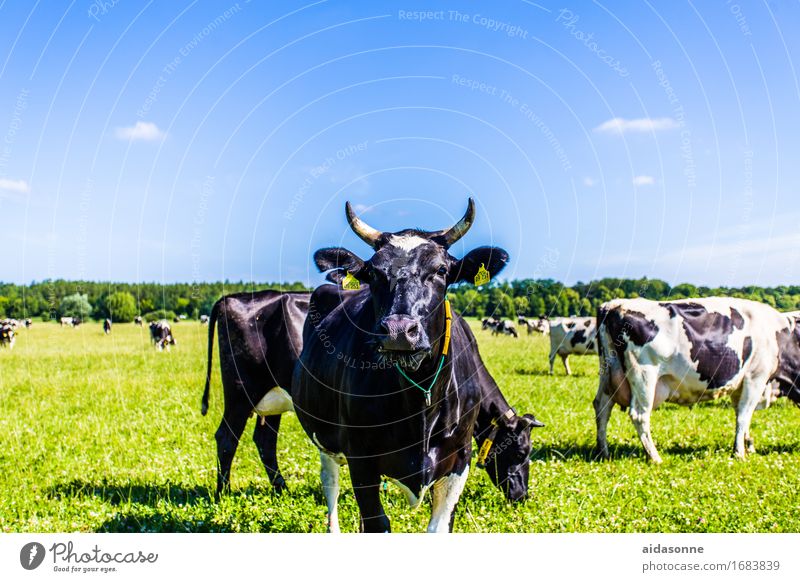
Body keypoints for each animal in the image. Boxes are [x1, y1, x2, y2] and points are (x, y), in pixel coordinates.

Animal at [292, 200, 512, 532]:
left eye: (441, 269)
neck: (419, 403)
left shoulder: (459, 459)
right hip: (325, 440)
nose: (398, 330)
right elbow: (377, 521)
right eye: (373, 273)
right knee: (330, 485)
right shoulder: (361, 458)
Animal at [592, 302, 800, 466]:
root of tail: (613, 306)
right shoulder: (755, 377)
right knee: (639, 415)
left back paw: (604, 452)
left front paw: (749, 445)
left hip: (608, 375)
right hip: (644, 376)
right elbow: (743, 416)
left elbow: (743, 416)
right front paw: (740, 453)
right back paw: (655, 457)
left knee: (602, 408)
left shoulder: (740, 384)